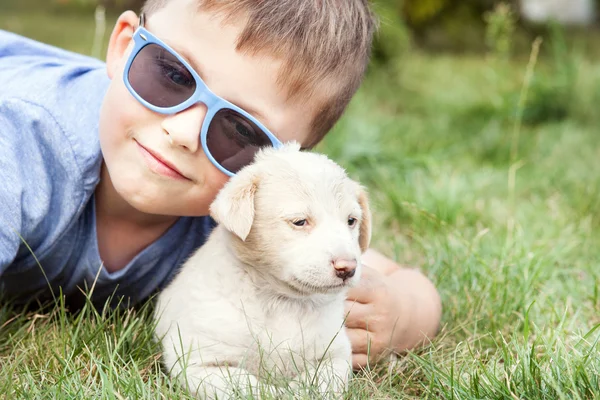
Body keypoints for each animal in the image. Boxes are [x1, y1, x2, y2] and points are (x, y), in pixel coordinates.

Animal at [155, 142, 370, 398]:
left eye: (351, 221)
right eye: (299, 221)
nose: (348, 268)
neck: (281, 301)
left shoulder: (335, 353)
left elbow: (320, 381)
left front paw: (298, 391)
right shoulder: (197, 360)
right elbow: (245, 385)